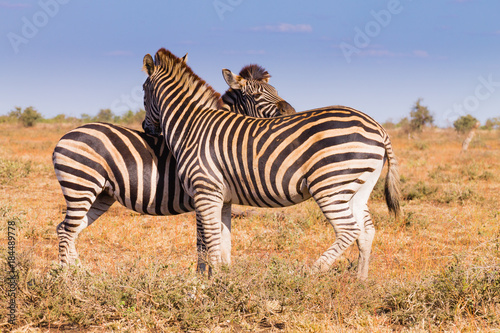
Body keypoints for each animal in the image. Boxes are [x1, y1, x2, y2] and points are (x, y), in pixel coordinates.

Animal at [53, 61, 296, 266]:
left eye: (276, 91)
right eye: (256, 95)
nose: (291, 112)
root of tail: (66, 135)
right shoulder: (202, 197)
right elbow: (203, 245)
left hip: (101, 194)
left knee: (68, 229)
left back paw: (78, 273)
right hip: (81, 185)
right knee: (66, 231)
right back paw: (68, 280)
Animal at [142, 48, 402, 278]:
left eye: (143, 92)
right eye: (257, 95)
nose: (146, 128)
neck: (191, 125)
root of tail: (378, 127)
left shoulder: (204, 191)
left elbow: (207, 242)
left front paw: (206, 283)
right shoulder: (222, 197)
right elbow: (222, 241)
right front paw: (222, 278)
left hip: (330, 184)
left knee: (349, 230)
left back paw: (311, 273)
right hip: (359, 187)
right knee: (366, 231)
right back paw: (361, 281)